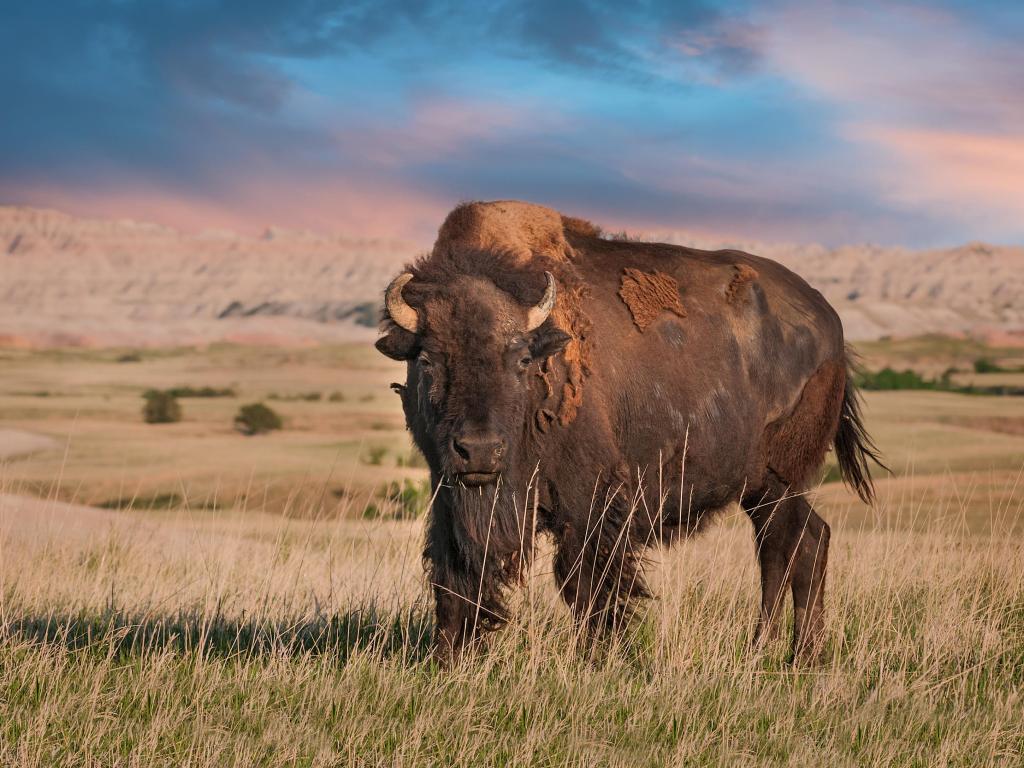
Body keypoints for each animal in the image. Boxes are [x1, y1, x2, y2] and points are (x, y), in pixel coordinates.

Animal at [376, 201, 880, 663]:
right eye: (427, 360)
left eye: (520, 360)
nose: (479, 451)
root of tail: (832, 327)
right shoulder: (448, 495)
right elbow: (453, 575)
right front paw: (448, 658)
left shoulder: (590, 501)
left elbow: (586, 582)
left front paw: (598, 657)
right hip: (765, 490)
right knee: (803, 543)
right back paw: (787, 652)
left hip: (779, 483)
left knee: (786, 548)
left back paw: (782, 652)